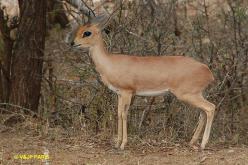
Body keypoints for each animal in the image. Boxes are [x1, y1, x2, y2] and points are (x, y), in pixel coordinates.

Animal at [69, 15, 216, 151]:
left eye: (87, 32)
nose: (73, 43)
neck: (110, 63)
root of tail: (207, 71)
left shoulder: (127, 92)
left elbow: (124, 115)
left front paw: (123, 144)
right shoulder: (119, 94)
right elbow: (118, 114)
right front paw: (116, 143)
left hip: (188, 95)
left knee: (210, 108)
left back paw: (203, 144)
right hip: (195, 95)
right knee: (203, 113)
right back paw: (192, 142)